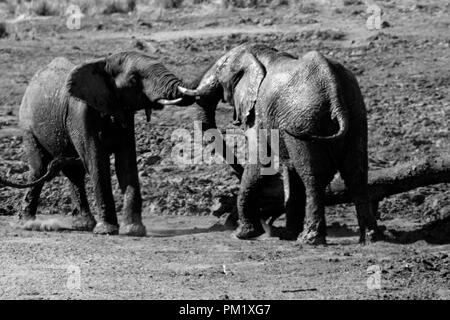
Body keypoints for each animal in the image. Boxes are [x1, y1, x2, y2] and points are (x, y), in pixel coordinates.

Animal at [3, 52, 183, 236]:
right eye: (134, 79)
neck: (105, 63)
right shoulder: (81, 114)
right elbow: (97, 162)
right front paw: (108, 230)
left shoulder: (125, 113)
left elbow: (125, 163)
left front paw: (133, 230)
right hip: (28, 126)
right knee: (39, 168)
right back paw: (28, 224)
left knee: (74, 173)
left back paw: (83, 225)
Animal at [179, 43, 384, 245]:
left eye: (220, 68)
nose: (237, 169)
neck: (258, 53)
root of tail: (333, 87)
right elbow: (289, 168)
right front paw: (287, 235)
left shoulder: (258, 113)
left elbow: (261, 162)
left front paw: (242, 235)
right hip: (356, 115)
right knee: (356, 174)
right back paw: (371, 238)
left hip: (304, 120)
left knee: (313, 177)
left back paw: (309, 240)